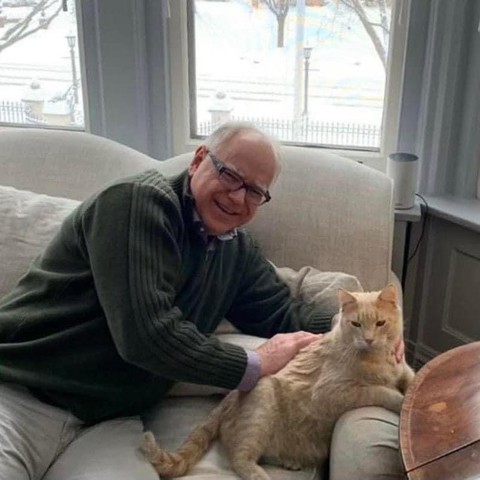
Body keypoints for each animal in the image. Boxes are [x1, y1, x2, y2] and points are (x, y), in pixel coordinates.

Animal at [141, 284, 414, 480]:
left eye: (380, 323)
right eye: (356, 324)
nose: (368, 339)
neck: (376, 358)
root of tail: (226, 400)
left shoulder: (402, 369)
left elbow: (410, 379)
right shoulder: (335, 393)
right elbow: (380, 392)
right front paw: (401, 402)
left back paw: (290, 461)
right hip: (262, 402)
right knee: (241, 458)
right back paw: (262, 475)